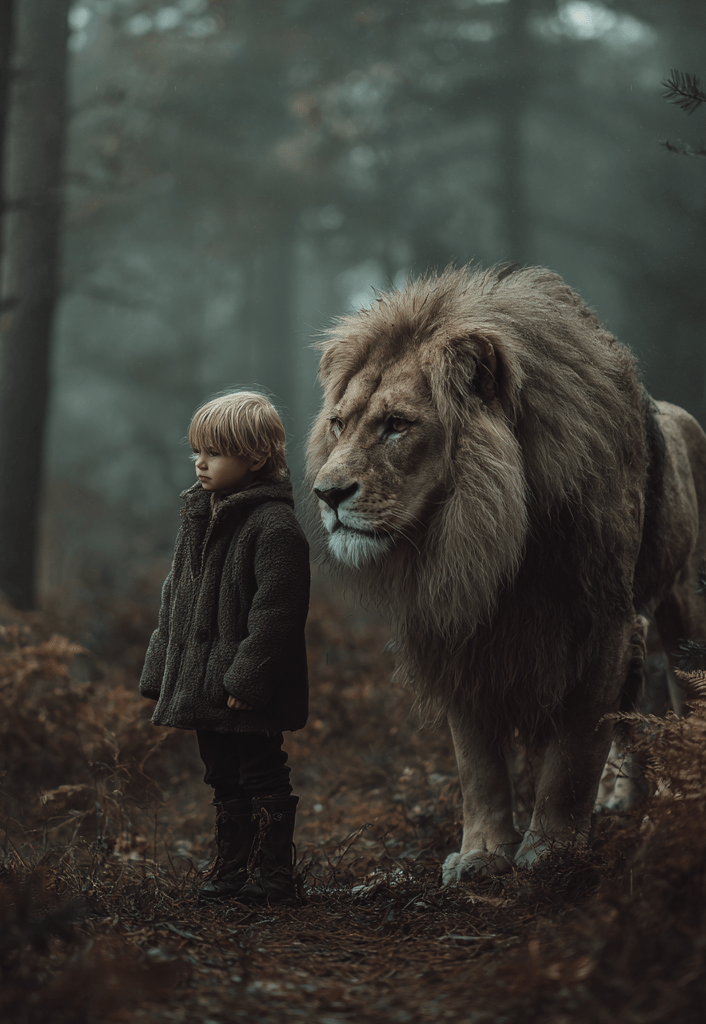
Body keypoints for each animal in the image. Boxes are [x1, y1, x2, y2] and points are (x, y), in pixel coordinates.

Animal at [306, 265, 706, 881]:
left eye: (396, 425)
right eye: (338, 423)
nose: (326, 493)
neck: (488, 540)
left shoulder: (605, 624)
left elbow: (574, 748)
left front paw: (550, 849)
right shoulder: (456, 628)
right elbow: (477, 759)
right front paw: (482, 853)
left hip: (684, 608)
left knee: (684, 693)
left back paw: (681, 796)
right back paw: (622, 797)